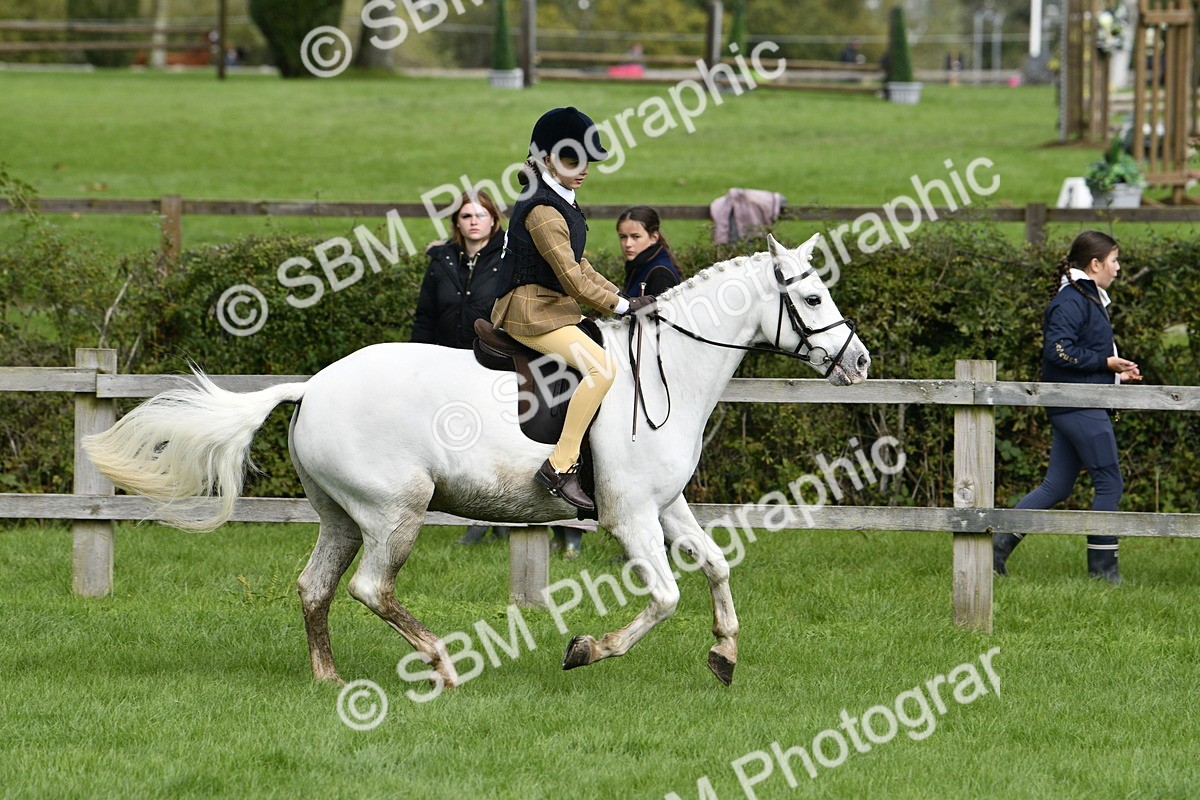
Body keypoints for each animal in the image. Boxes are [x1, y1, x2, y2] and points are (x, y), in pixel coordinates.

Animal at [83, 233, 870, 690]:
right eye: (810, 296)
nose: (860, 361)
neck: (668, 366)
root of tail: (312, 386)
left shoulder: (666, 506)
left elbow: (714, 565)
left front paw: (725, 655)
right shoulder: (630, 516)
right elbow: (668, 595)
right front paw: (586, 649)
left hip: (342, 515)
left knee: (315, 587)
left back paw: (328, 677)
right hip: (394, 511)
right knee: (370, 588)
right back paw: (441, 663)